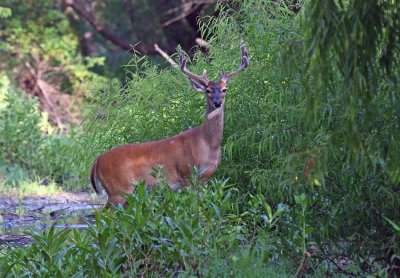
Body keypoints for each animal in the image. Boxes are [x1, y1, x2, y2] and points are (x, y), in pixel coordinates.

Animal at [90, 46, 250, 206]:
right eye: (208, 91)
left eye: (224, 89)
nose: (217, 102)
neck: (208, 144)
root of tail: (97, 160)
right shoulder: (186, 174)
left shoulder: (206, 177)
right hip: (118, 191)